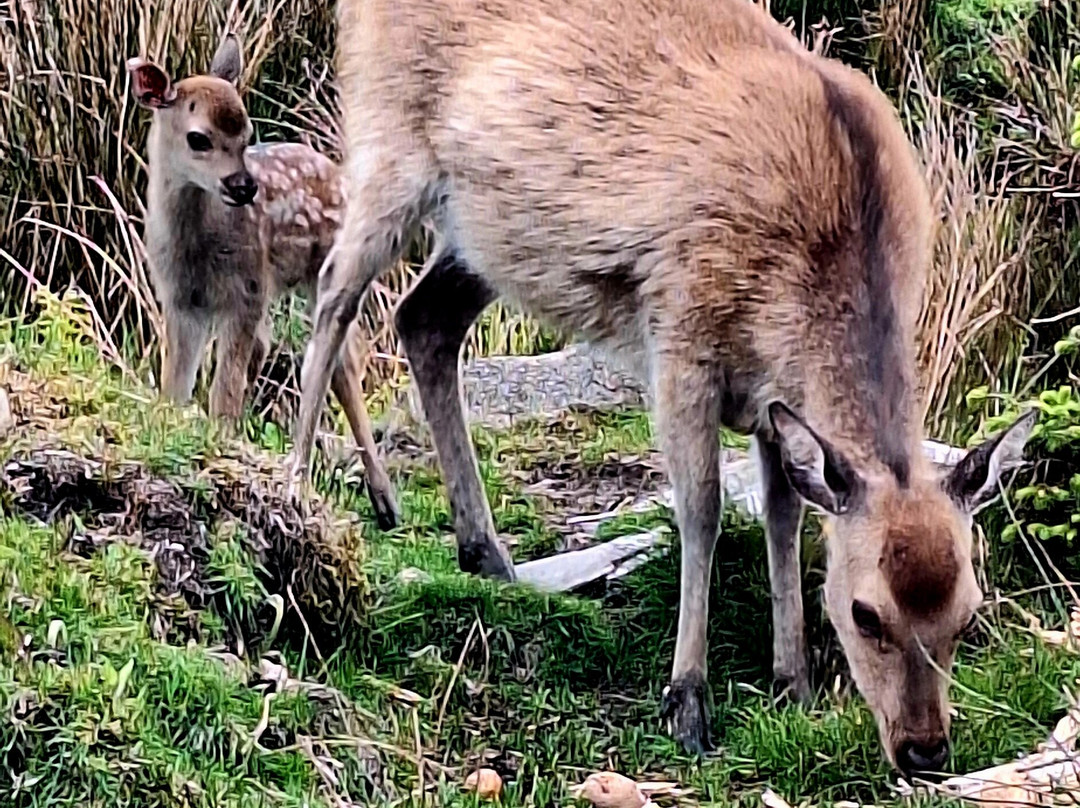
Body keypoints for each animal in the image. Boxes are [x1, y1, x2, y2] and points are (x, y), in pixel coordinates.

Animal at [127, 33, 400, 530]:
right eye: (198, 138)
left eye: (247, 134)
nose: (243, 186)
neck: (196, 247)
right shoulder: (179, 299)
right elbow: (176, 384)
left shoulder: (245, 293)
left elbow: (223, 389)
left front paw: (217, 447)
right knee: (274, 347)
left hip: (322, 270)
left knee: (342, 363)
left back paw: (383, 501)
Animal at [287, 0, 1035, 774]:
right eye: (866, 613)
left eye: (968, 613)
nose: (924, 748)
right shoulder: (680, 335)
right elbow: (702, 510)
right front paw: (688, 702)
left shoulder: (774, 401)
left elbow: (784, 516)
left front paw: (792, 681)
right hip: (388, 145)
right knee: (334, 296)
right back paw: (303, 491)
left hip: (486, 236)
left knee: (422, 318)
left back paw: (487, 554)